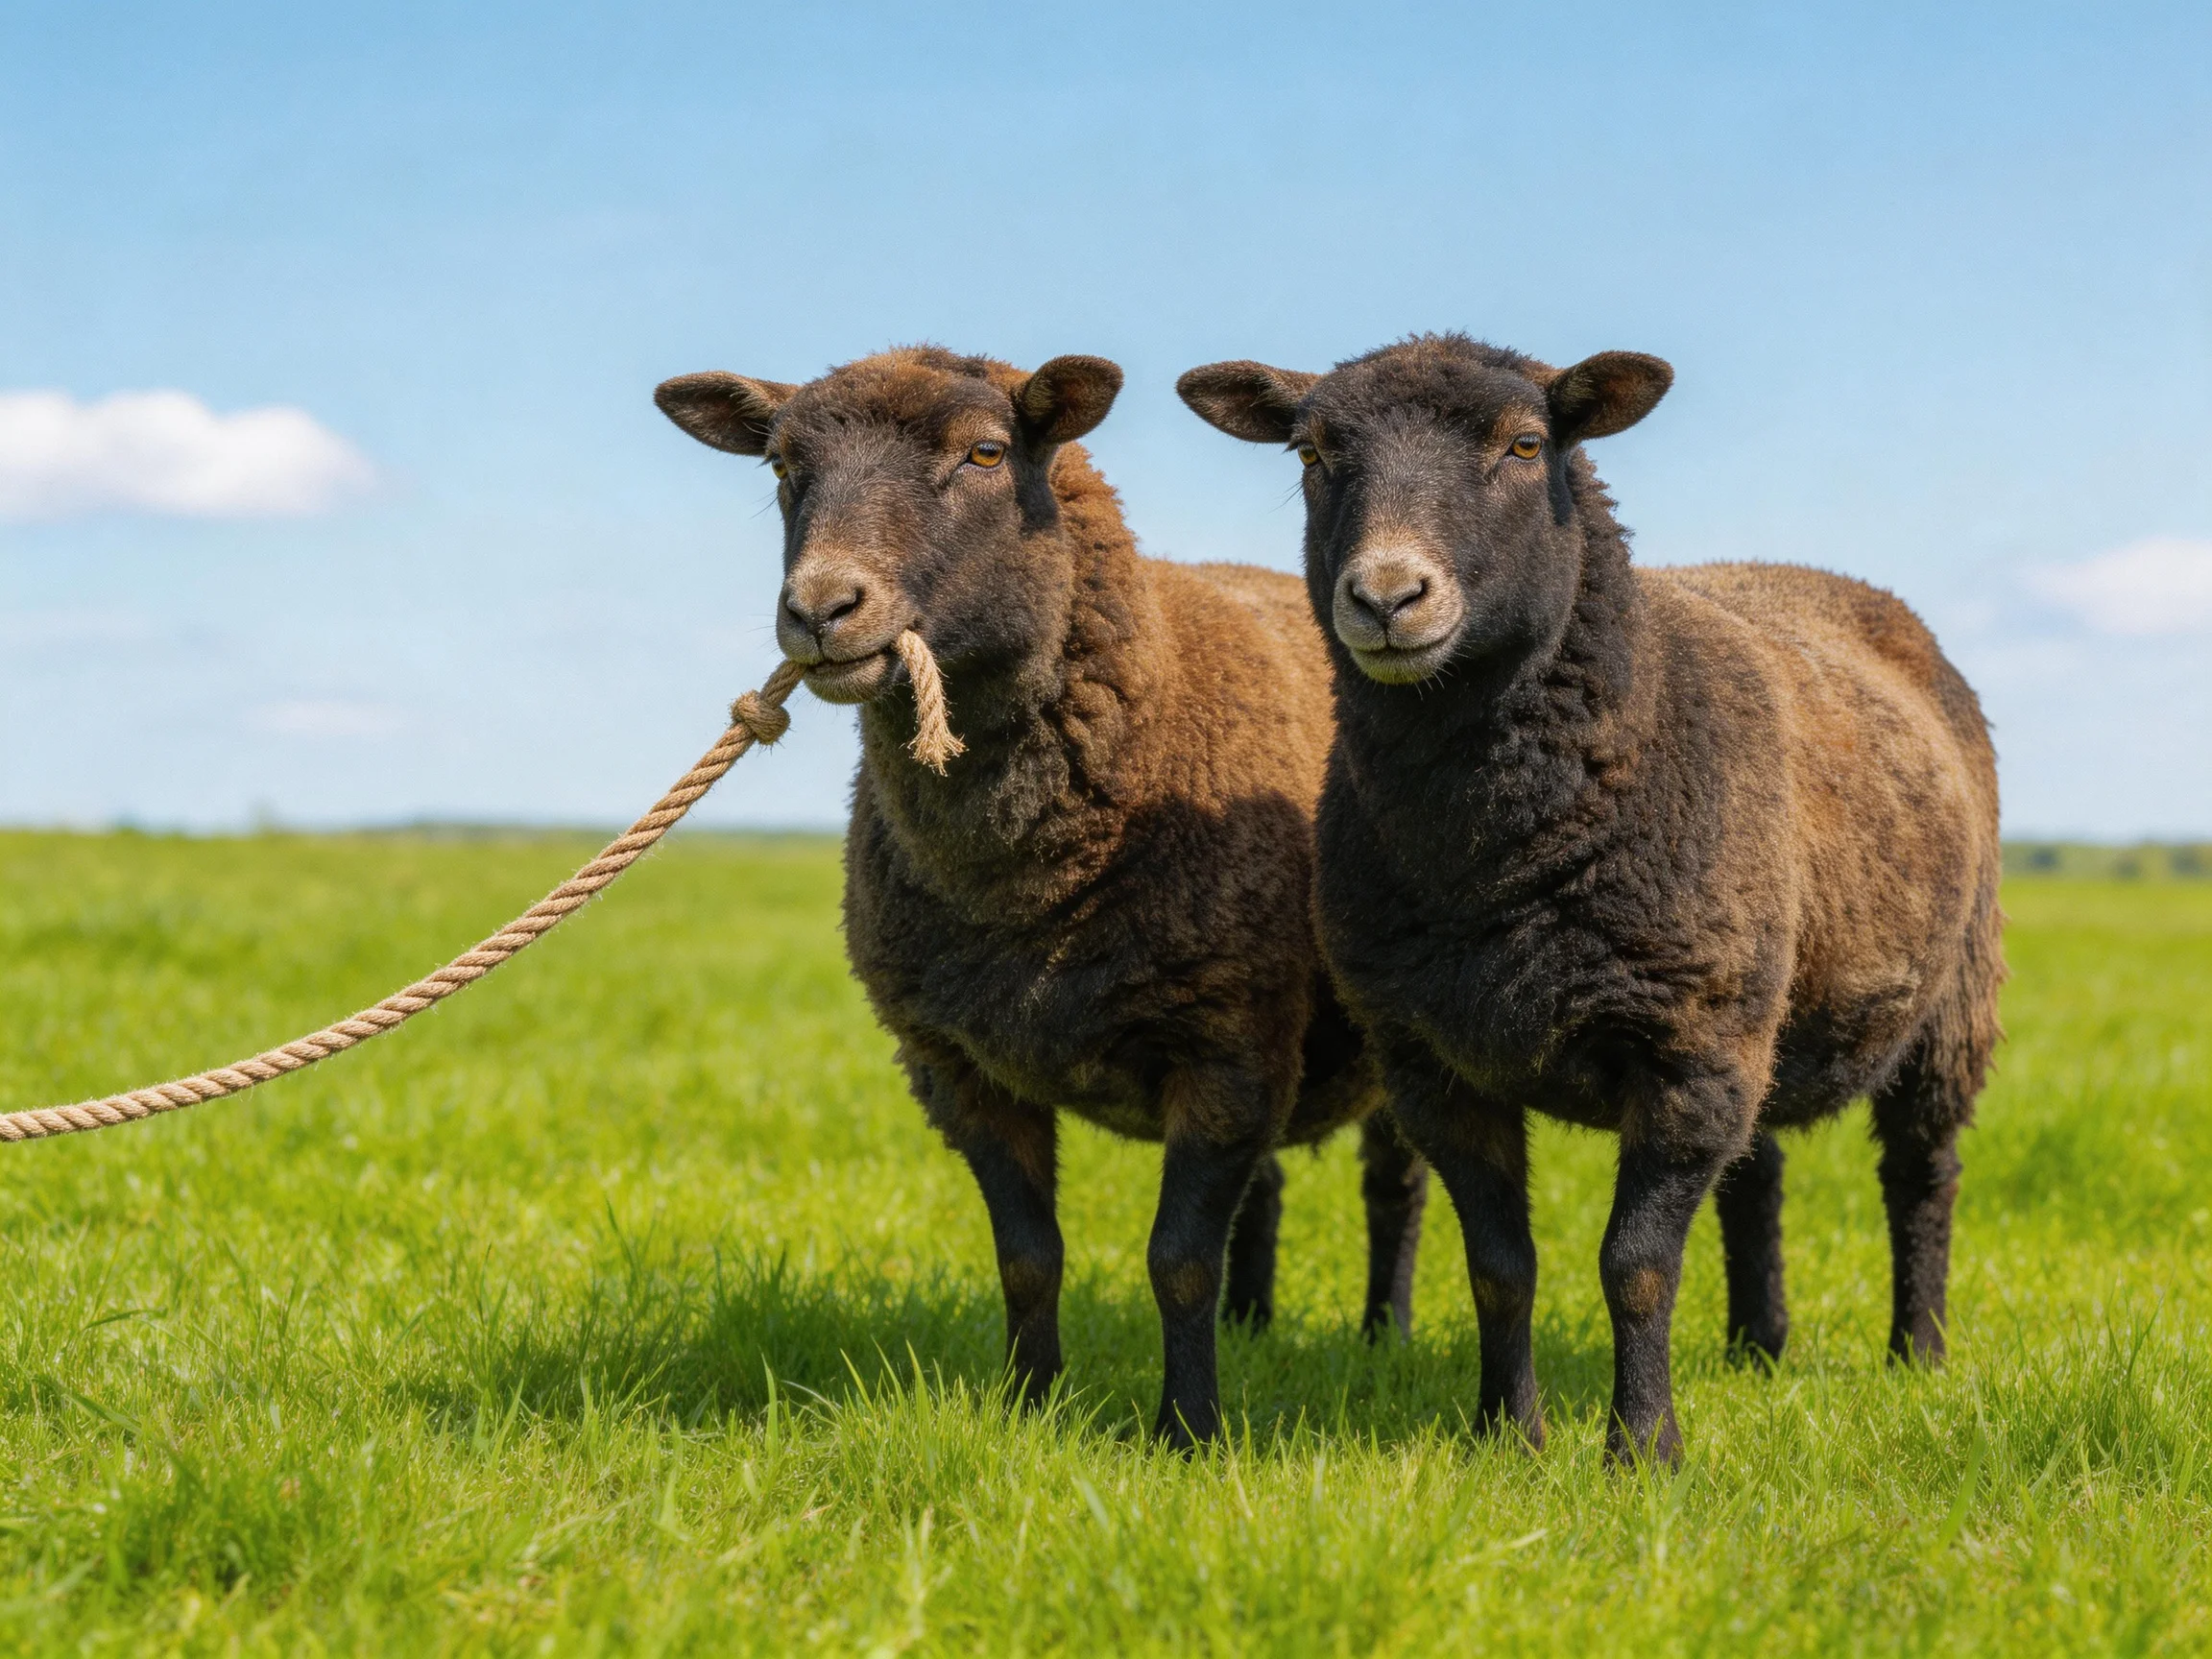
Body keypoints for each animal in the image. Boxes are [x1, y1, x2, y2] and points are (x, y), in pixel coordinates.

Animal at [655, 346, 1428, 1445]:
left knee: (1392, 1187)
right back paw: (1253, 1327)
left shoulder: (1225, 1047)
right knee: (1270, 1185)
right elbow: (1028, 1259)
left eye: (986, 454)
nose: (819, 611)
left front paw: (1188, 1432)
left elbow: (1176, 1262)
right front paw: (1030, 1410)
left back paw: (1381, 1336)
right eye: (780, 466)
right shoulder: (958, 1067)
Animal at [1179, 334, 2004, 1464]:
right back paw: (1757, 1348)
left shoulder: (1685, 1047)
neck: (1497, 858)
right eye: (1310, 454)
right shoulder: (1434, 1062)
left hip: (1945, 997)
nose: (1387, 598)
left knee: (1923, 1176)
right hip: (1759, 998)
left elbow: (1637, 1266)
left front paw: (1643, 1451)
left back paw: (1916, 1354)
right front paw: (1506, 1435)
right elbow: (1500, 1267)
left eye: (1526, 445)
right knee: (1759, 1174)